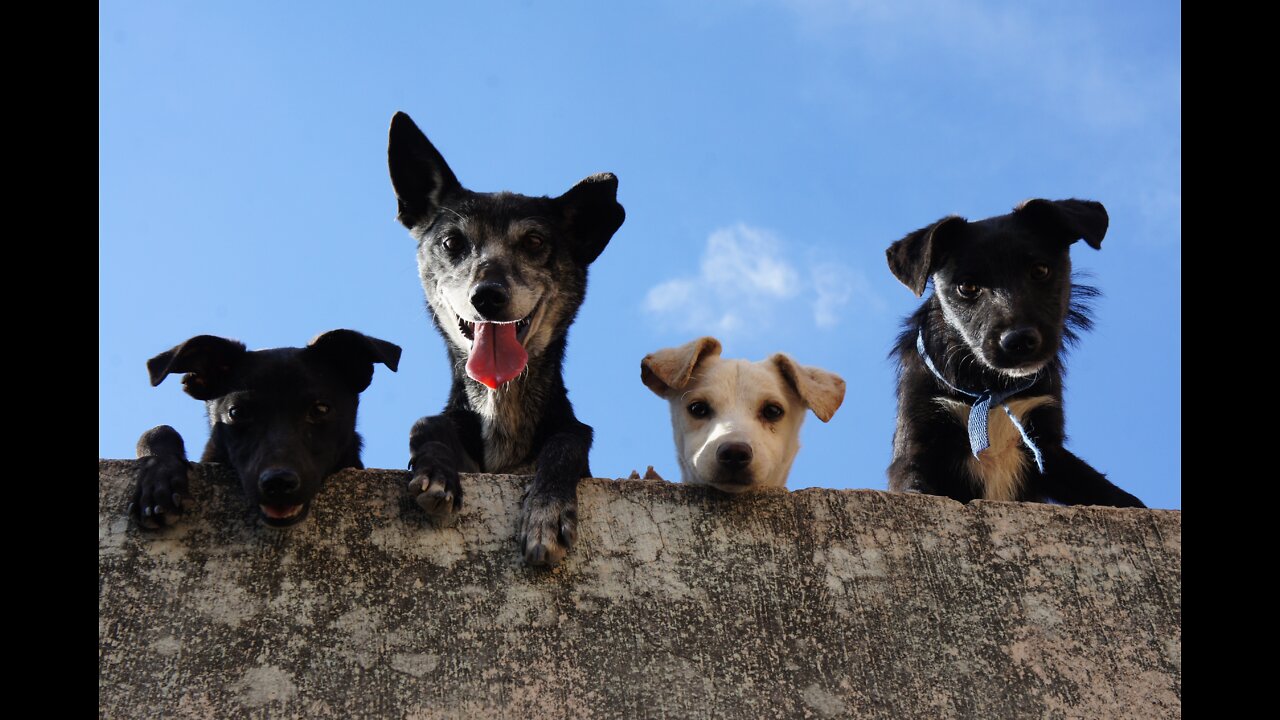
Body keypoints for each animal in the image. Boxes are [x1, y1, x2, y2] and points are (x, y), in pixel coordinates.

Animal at [386, 109, 627, 563]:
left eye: (534, 241)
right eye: (452, 242)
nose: (487, 296)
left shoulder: (570, 439)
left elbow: (568, 441)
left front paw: (546, 513)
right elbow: (425, 423)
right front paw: (436, 471)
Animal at [885, 198, 1146, 507]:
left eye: (1040, 270)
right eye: (967, 286)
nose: (1019, 340)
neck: (991, 389)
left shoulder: (1047, 447)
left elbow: (1106, 490)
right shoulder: (918, 442)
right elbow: (915, 485)